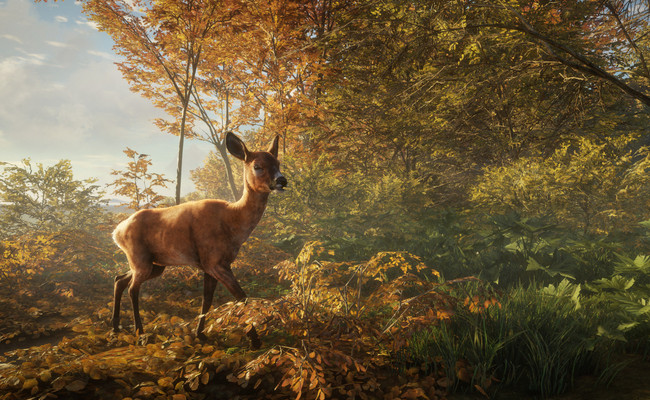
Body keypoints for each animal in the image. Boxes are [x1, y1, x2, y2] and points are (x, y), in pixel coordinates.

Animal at [110, 133, 286, 348]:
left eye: (278, 163)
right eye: (258, 166)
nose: (282, 180)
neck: (232, 222)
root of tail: (117, 232)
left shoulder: (211, 265)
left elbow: (207, 299)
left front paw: (200, 334)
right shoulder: (214, 261)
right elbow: (241, 297)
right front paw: (255, 341)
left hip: (154, 264)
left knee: (120, 279)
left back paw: (116, 326)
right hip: (139, 258)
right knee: (133, 289)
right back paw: (140, 332)